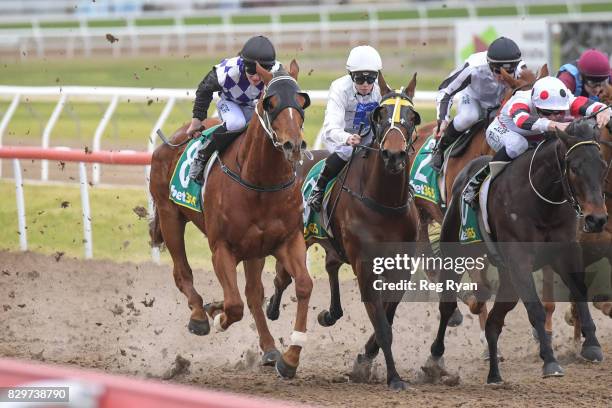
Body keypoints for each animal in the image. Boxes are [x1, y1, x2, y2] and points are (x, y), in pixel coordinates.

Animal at [147, 61, 310, 380]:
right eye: (270, 103)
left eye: (301, 101)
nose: (293, 146)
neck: (259, 181)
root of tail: (172, 138)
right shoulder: (221, 247)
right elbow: (234, 305)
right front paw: (217, 316)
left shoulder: (287, 240)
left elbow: (302, 286)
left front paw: (290, 358)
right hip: (170, 215)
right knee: (182, 272)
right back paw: (199, 315)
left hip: (255, 250)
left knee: (253, 294)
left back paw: (268, 347)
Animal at [266, 75, 424, 390]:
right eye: (380, 115)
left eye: (412, 116)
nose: (394, 155)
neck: (385, 203)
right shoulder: (365, 265)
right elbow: (383, 325)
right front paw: (393, 377)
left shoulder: (401, 266)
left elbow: (387, 316)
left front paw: (367, 357)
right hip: (300, 238)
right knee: (282, 278)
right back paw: (272, 309)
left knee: (330, 265)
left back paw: (330, 313)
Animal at [432, 119, 608, 384]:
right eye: (575, 168)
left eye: (603, 166)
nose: (597, 219)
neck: (542, 201)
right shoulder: (519, 260)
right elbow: (535, 309)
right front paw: (550, 360)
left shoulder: (566, 250)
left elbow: (579, 291)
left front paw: (592, 345)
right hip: (456, 255)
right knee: (447, 306)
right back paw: (435, 359)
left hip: (507, 280)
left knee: (494, 322)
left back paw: (494, 375)